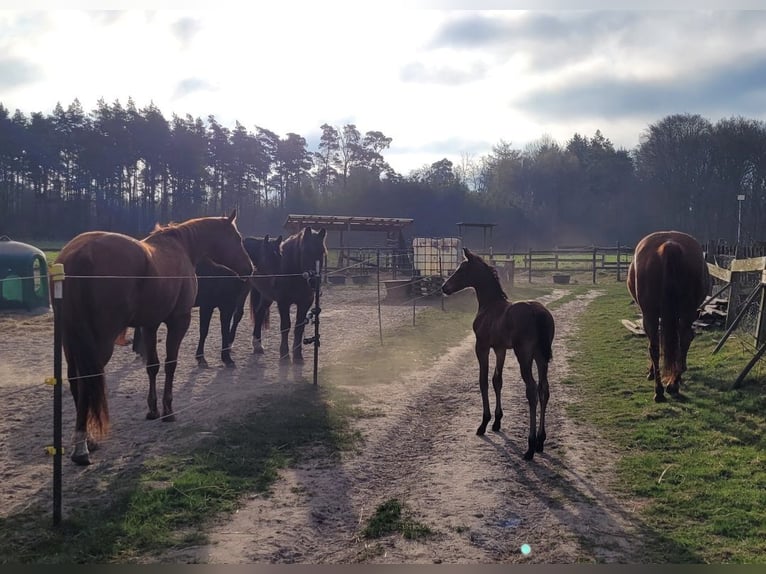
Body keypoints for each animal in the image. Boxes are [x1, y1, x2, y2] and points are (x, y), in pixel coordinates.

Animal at [55, 210, 253, 465]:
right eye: (238, 239)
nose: (250, 268)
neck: (182, 247)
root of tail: (79, 254)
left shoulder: (149, 325)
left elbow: (152, 366)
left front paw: (153, 410)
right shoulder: (179, 322)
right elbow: (170, 364)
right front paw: (168, 410)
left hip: (71, 342)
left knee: (76, 381)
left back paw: (87, 440)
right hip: (99, 343)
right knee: (87, 382)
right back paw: (82, 447)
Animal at [247, 227, 326, 363]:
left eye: (321, 252)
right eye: (305, 251)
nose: (314, 281)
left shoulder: (305, 303)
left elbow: (299, 327)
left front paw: (298, 356)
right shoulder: (283, 303)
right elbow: (285, 326)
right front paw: (284, 355)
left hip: (267, 297)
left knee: (260, 313)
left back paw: (258, 345)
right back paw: (257, 345)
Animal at [441, 247, 555, 461]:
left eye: (461, 269)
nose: (445, 287)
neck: (490, 305)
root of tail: (538, 312)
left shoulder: (482, 346)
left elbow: (483, 381)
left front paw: (484, 423)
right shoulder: (500, 348)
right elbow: (497, 380)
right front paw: (497, 421)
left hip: (524, 354)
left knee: (531, 390)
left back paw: (530, 446)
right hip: (540, 356)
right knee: (544, 389)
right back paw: (540, 441)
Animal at [627, 230, 710, 402]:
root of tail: (669, 245)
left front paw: (652, 372)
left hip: (650, 314)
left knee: (655, 347)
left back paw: (660, 390)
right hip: (686, 312)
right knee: (682, 339)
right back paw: (672, 385)